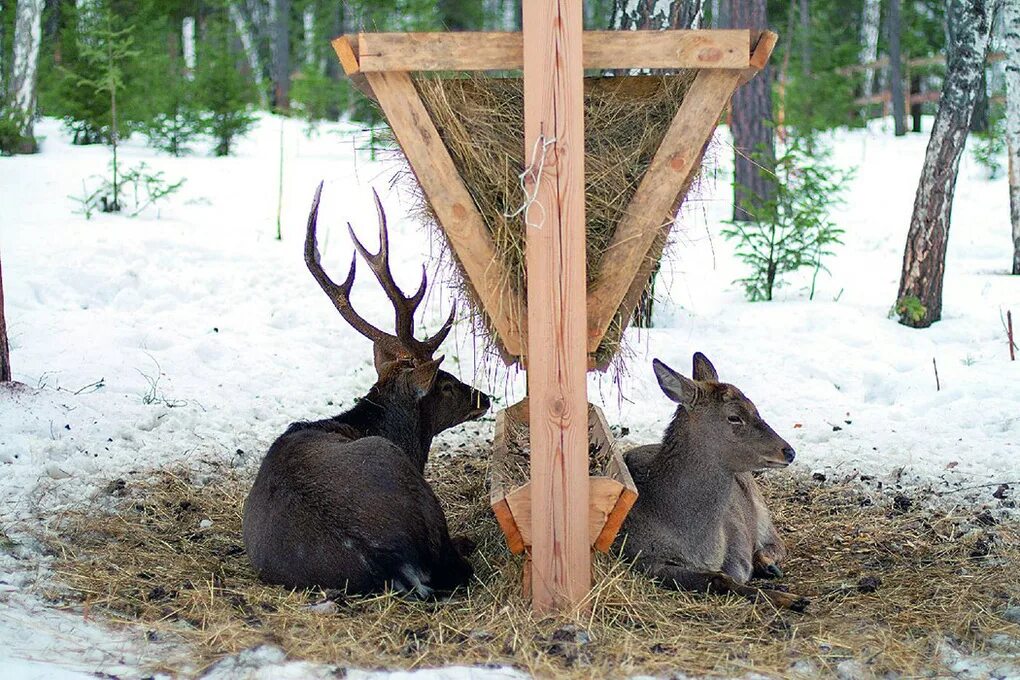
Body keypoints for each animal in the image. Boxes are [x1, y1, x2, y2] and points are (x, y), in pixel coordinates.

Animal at [616, 354, 807, 615]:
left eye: (754, 407)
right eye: (734, 417)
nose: (789, 451)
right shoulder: (639, 556)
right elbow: (720, 578)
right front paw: (790, 598)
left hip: (760, 507)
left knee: (777, 543)